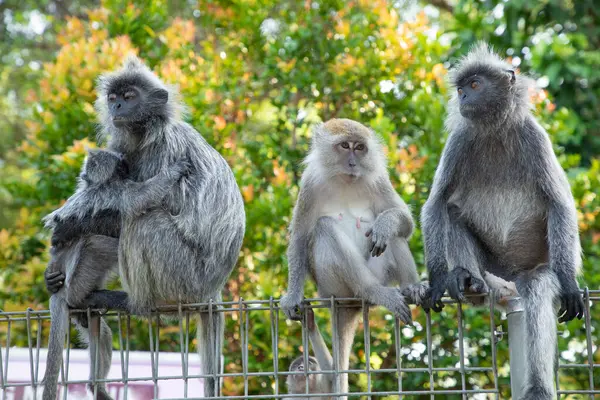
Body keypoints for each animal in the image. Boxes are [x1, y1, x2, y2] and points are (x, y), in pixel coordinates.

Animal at [41, 149, 188, 400]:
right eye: (120, 167)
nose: (126, 167)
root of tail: (62, 294)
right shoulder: (117, 191)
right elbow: (141, 198)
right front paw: (174, 170)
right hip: (78, 279)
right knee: (99, 242)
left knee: (102, 336)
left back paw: (96, 387)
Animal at [78, 55, 245, 396]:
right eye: (113, 98)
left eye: (130, 97)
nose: (116, 108)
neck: (145, 136)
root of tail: (212, 289)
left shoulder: (166, 152)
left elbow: (149, 204)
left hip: (184, 278)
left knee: (143, 222)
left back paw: (134, 302)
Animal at [280, 118, 426, 396]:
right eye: (345, 146)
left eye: (359, 148)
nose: (352, 163)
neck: (344, 181)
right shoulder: (309, 185)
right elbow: (301, 238)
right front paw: (293, 296)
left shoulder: (378, 180)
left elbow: (404, 222)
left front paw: (386, 224)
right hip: (332, 287)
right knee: (324, 228)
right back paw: (372, 291)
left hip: (380, 274)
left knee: (394, 237)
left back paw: (410, 286)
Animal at [420, 43, 584, 400]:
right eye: (460, 89)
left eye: (475, 85)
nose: (464, 98)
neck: (494, 131)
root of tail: (509, 276)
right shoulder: (459, 140)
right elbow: (436, 204)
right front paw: (439, 279)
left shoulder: (534, 137)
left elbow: (559, 205)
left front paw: (569, 282)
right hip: (492, 269)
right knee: (452, 213)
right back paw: (469, 282)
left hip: (531, 269)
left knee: (536, 288)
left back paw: (537, 387)